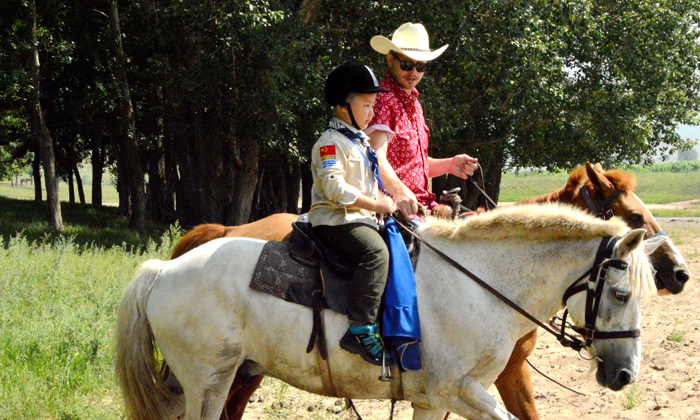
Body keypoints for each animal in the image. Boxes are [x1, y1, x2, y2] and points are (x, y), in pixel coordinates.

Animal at [170, 162, 688, 420]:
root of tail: (223, 230)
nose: (682, 273)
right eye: (635, 216)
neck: (485, 280)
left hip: (243, 370)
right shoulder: (477, 383)